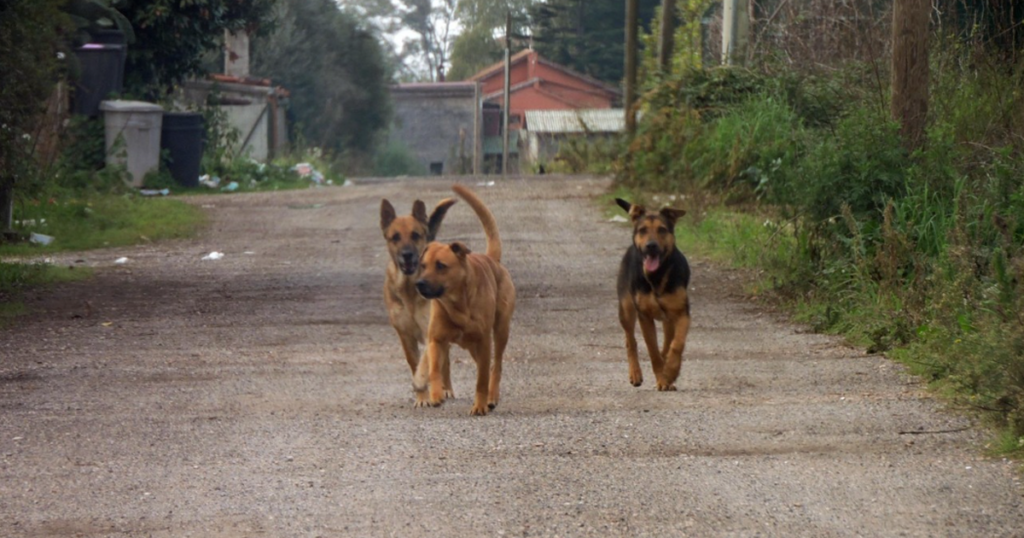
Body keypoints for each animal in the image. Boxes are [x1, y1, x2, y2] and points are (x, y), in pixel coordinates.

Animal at [380, 193, 456, 401]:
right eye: (395, 237)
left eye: (415, 235)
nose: (407, 254)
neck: (409, 289)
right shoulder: (405, 336)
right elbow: (414, 364)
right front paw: (422, 398)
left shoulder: (430, 329)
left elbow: (428, 363)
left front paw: (427, 387)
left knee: (445, 363)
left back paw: (446, 389)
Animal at [411, 184, 516, 416]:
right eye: (423, 265)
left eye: (441, 265)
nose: (419, 284)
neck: (457, 304)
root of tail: (492, 259)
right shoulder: (436, 339)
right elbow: (434, 369)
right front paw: (436, 395)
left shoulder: (484, 341)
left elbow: (481, 379)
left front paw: (480, 405)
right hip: (472, 345)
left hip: (501, 330)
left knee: (496, 366)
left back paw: (491, 397)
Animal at [610, 196, 692, 389]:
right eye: (643, 230)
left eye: (662, 229)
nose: (651, 246)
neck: (656, 276)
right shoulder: (644, 316)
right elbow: (652, 350)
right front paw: (662, 378)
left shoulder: (681, 313)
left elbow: (676, 344)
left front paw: (671, 372)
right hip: (626, 309)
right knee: (630, 341)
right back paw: (635, 374)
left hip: (668, 318)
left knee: (667, 341)